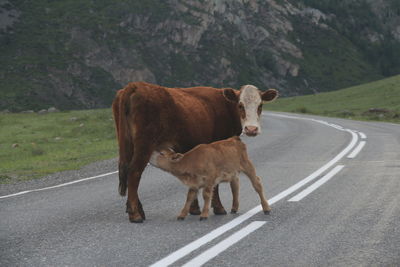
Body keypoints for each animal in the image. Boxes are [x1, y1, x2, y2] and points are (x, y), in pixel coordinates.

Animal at [111, 82, 276, 224]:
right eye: (240, 105)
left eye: (260, 105)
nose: (251, 129)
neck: (226, 107)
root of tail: (135, 85)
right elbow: (214, 184)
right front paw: (218, 208)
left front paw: (194, 209)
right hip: (144, 145)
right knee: (134, 173)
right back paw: (135, 215)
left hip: (127, 144)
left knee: (128, 171)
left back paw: (136, 210)